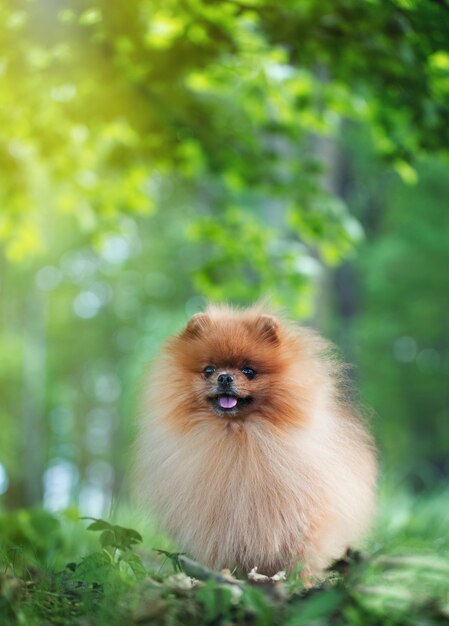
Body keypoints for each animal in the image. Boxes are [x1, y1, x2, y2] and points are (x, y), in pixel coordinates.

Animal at [135, 302, 376, 576]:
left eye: (248, 371)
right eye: (209, 370)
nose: (224, 377)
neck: (237, 436)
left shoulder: (304, 517)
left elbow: (302, 553)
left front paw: (300, 580)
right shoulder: (215, 522)